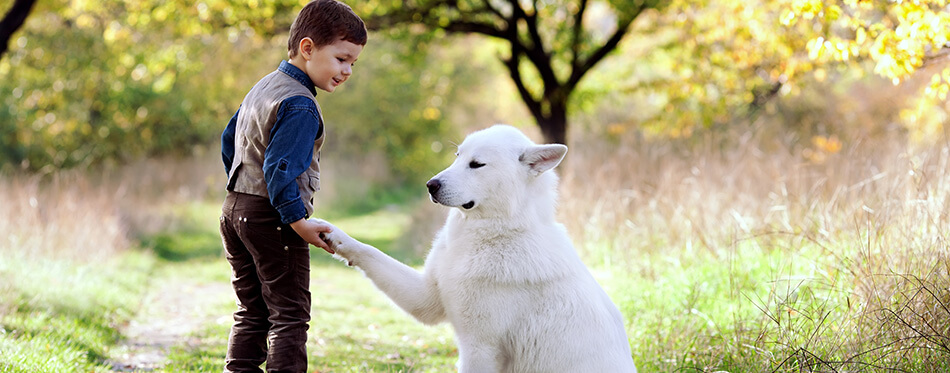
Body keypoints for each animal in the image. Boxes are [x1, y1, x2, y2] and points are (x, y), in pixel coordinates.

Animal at [316, 125, 636, 372]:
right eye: (457, 157)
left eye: (477, 164)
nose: (430, 185)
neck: (493, 233)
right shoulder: (425, 298)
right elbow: (369, 252)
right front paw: (330, 233)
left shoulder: (480, 347)